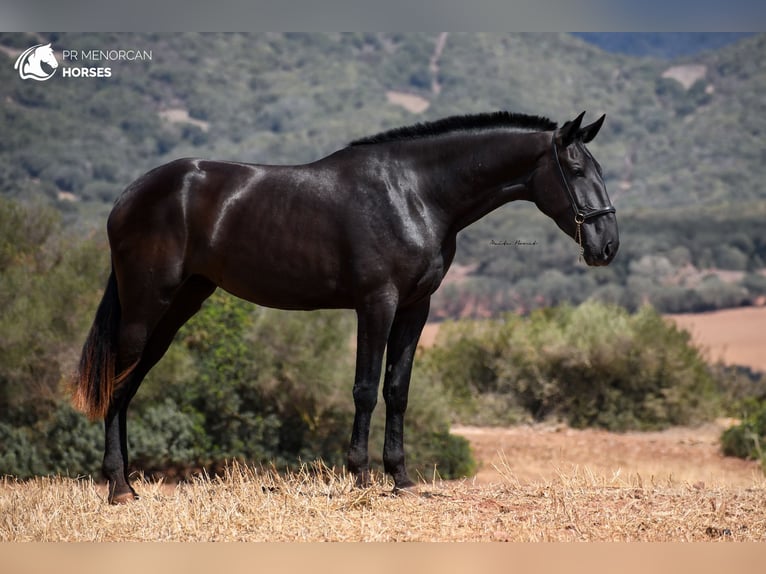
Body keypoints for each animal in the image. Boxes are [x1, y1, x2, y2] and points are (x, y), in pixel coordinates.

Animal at [75, 111, 620, 504]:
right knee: (118, 384)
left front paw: (401, 478)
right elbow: (364, 388)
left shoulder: (416, 308)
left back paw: (128, 486)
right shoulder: (377, 303)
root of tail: (127, 198)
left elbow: (397, 390)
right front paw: (359, 476)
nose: (607, 245)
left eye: (600, 170)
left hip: (182, 303)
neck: (415, 193)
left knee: (128, 386)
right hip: (147, 305)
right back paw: (118, 489)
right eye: (576, 170)